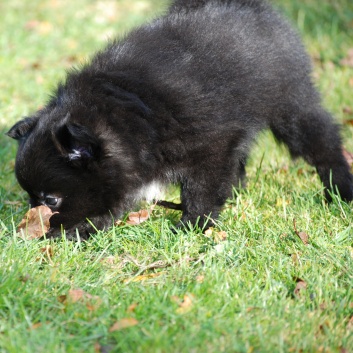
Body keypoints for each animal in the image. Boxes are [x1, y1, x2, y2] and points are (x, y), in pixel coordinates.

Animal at [7, 0, 352, 238]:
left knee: (323, 142)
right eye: (30, 197)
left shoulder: (210, 147)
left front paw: (192, 226)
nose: (30, 226)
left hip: (291, 104)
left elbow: (200, 191)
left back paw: (340, 190)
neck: (127, 119)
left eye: (51, 199)